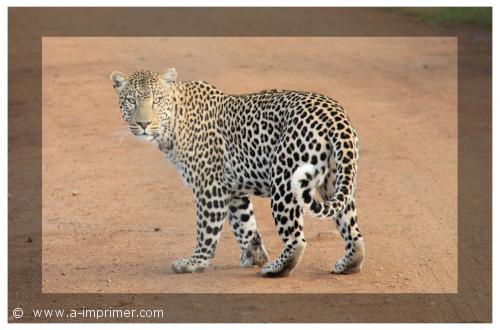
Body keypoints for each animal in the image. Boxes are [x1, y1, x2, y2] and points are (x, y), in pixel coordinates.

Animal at [111, 68, 366, 278]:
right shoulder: (232, 189)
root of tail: (334, 114)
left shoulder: (210, 187)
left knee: (296, 239)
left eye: (156, 101)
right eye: (131, 101)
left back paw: (275, 268)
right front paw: (253, 256)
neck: (172, 125)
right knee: (352, 229)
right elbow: (245, 224)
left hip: (284, 182)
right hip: (335, 180)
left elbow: (206, 229)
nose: (144, 124)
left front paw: (194, 263)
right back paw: (348, 264)